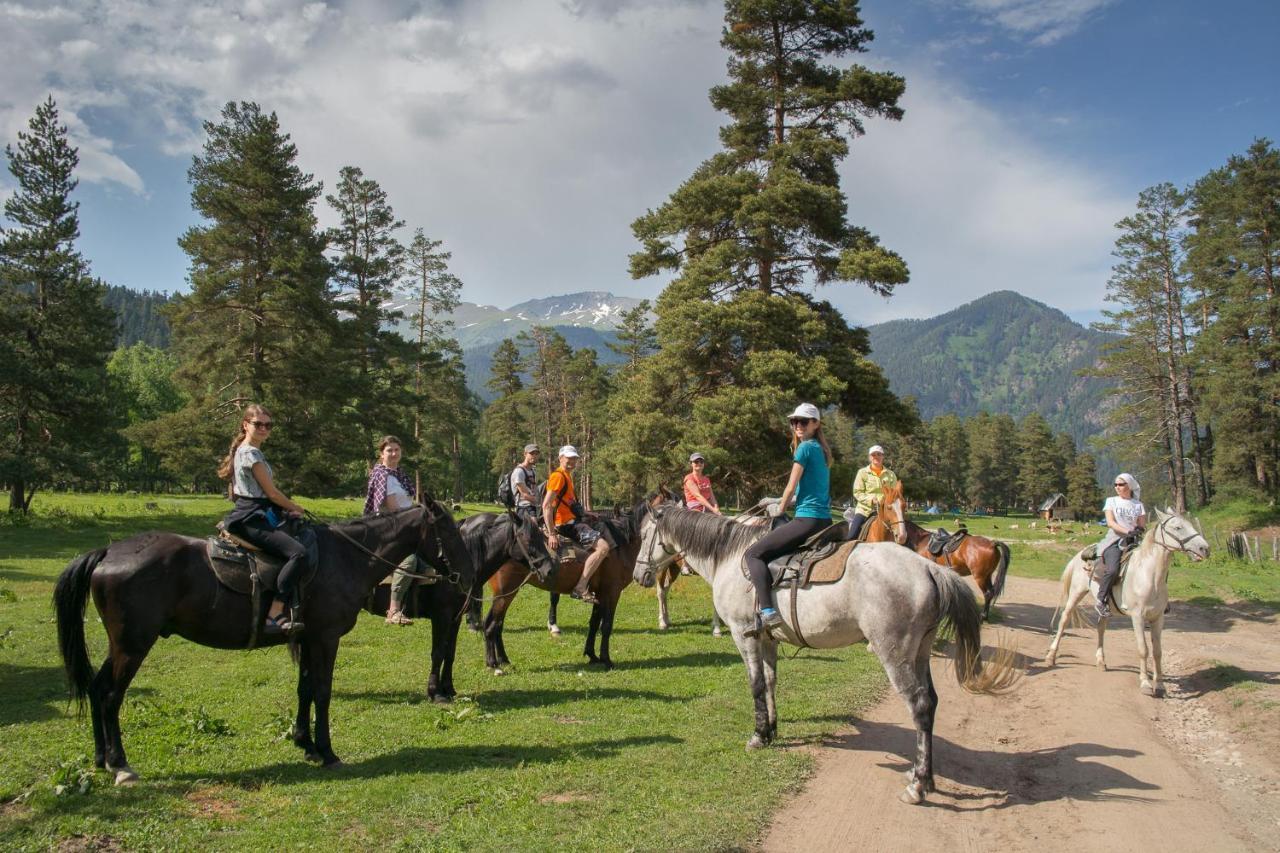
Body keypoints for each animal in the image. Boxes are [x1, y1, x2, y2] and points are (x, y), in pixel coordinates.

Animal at [53, 499, 476, 783]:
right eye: (449, 531)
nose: (468, 574)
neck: (344, 558)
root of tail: (109, 551)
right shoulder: (325, 638)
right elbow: (322, 692)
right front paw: (327, 751)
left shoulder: (307, 637)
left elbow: (305, 690)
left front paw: (306, 744)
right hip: (133, 645)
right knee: (111, 695)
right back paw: (120, 764)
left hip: (122, 645)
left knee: (97, 688)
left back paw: (101, 758)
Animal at [481, 499, 660, 671]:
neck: (621, 544)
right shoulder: (612, 592)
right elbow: (606, 625)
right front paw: (606, 660)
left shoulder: (599, 594)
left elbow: (594, 623)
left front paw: (592, 655)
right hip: (505, 593)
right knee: (491, 624)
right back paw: (494, 664)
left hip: (508, 593)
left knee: (498, 624)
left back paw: (504, 660)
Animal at [632, 504, 1018, 804]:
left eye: (645, 534)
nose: (638, 575)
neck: (729, 556)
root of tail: (930, 568)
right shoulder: (768, 639)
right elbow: (771, 682)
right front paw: (772, 729)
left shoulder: (744, 636)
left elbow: (755, 685)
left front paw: (757, 735)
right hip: (919, 652)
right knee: (932, 702)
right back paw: (927, 776)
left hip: (895, 654)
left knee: (920, 705)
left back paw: (918, 785)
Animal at [880, 479, 1008, 617]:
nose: (899, 536)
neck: (919, 540)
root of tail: (992, 544)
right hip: (987, 575)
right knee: (991, 592)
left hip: (980, 576)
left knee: (988, 593)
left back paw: (983, 615)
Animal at [1044, 504, 1203, 691]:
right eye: (1178, 527)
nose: (1205, 549)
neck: (1149, 575)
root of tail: (1080, 554)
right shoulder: (1137, 617)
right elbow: (1143, 649)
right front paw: (1145, 683)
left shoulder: (1158, 618)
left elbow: (1157, 652)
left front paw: (1160, 685)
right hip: (1076, 593)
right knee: (1064, 620)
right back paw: (1051, 657)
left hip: (1106, 607)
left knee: (1101, 627)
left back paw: (1101, 661)